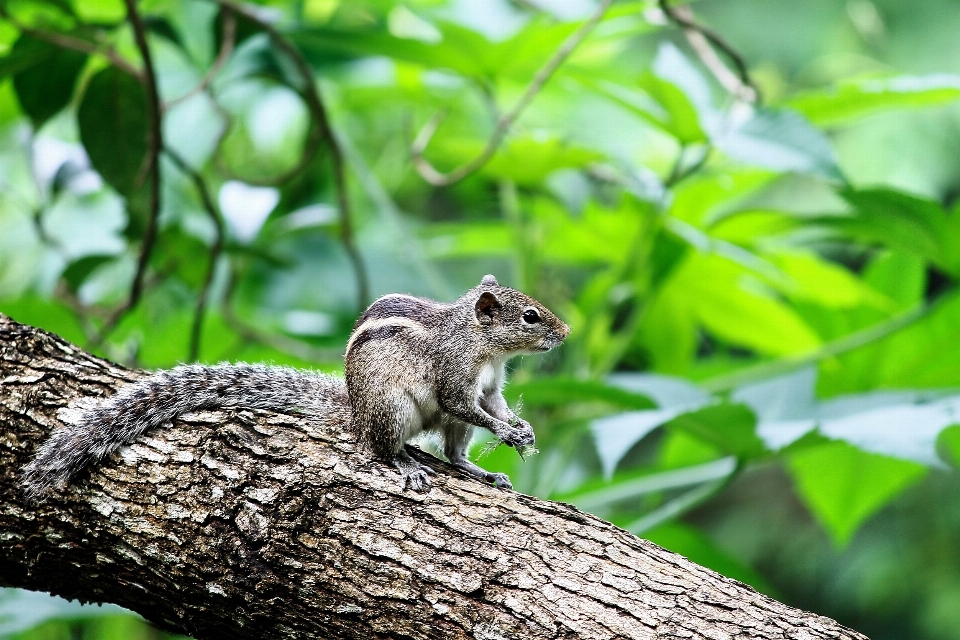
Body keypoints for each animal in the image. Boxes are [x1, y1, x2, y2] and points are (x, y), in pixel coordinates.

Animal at [20, 276, 568, 500]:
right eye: (531, 316)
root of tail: (356, 411)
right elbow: (465, 403)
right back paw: (407, 464)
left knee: (454, 452)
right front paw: (513, 433)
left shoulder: (490, 386)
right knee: (382, 448)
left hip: (441, 427)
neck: (483, 344)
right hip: (391, 409)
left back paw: (479, 470)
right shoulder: (456, 376)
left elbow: (491, 407)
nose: (564, 332)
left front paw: (520, 429)